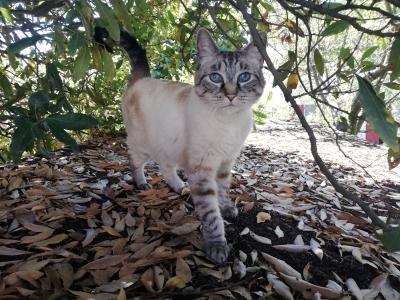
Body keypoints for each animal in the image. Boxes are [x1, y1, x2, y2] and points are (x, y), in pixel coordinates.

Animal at [119, 28, 266, 262]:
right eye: (215, 77)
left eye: (244, 77)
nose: (231, 95)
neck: (229, 123)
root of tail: (142, 79)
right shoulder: (202, 170)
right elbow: (211, 216)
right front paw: (217, 247)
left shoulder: (225, 163)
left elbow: (223, 191)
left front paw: (226, 208)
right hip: (143, 145)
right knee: (134, 161)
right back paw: (142, 183)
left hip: (168, 146)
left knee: (166, 168)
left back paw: (179, 186)